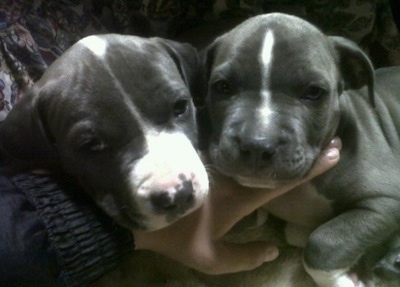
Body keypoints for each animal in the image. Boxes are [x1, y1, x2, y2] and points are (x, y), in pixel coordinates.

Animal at [203, 12, 400, 286]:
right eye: (222, 87)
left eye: (314, 92)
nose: (257, 144)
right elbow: (300, 234)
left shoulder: (385, 200)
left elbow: (322, 242)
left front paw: (343, 280)